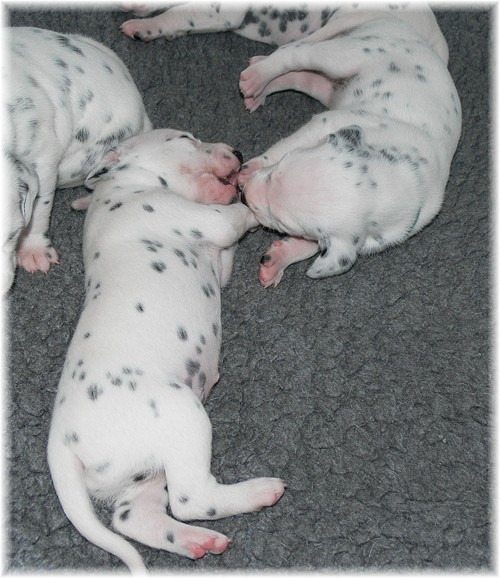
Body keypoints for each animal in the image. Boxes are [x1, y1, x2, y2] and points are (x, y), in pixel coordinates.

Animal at [47, 128, 286, 573]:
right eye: (187, 138)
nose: (238, 150)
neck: (127, 183)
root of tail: (62, 444)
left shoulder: (219, 261)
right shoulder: (203, 220)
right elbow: (232, 216)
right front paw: (251, 197)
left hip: (145, 468)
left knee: (133, 517)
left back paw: (196, 541)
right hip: (183, 415)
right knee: (193, 499)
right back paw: (260, 491)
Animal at [237, 3, 461, 286]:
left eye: (282, 221)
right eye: (274, 173)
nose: (243, 195)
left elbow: (313, 246)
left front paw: (279, 259)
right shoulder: (328, 122)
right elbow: (284, 147)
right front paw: (249, 169)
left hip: (324, 83)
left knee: (297, 74)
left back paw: (260, 88)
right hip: (344, 55)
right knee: (295, 52)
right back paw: (256, 77)